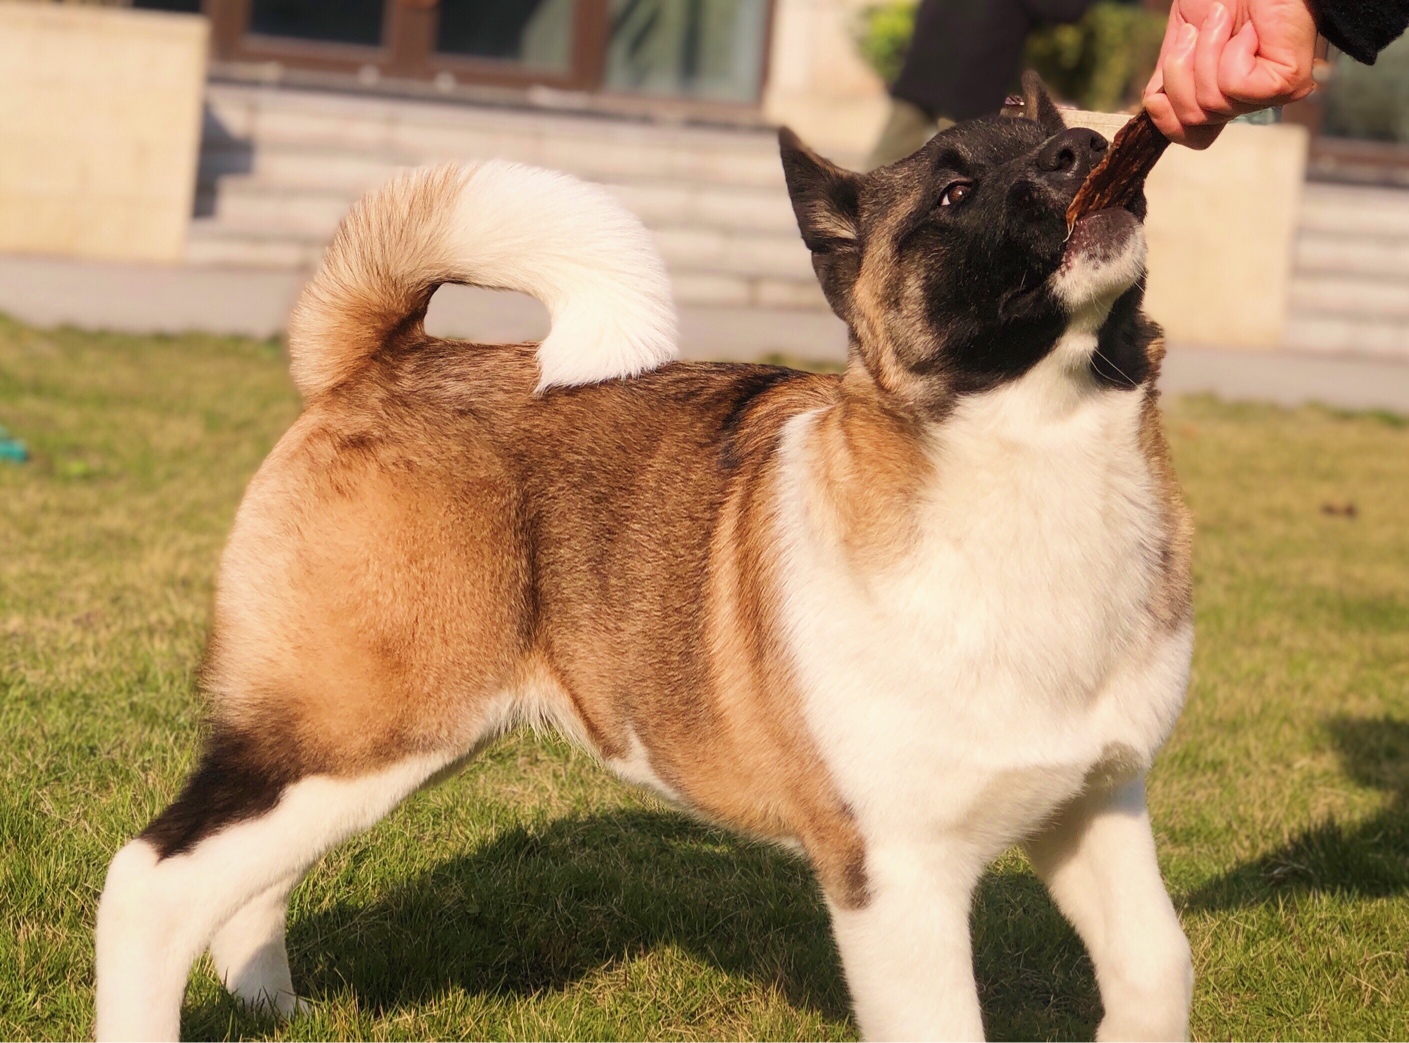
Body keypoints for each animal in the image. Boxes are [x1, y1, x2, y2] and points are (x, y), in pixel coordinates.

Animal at [96, 75, 1189, 1043]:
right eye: (954, 194)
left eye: (1065, 138)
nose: (1085, 148)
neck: (1032, 449)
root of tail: (385, 359)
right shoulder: (895, 875)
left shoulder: (1092, 804)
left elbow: (1156, 967)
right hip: (356, 731)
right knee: (152, 885)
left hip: (358, 747)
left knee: (247, 879)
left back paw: (270, 1005)